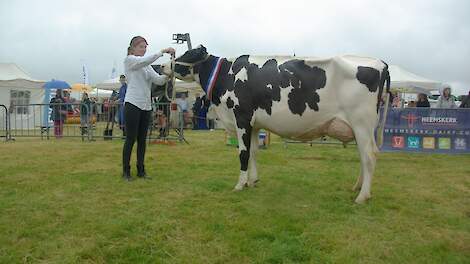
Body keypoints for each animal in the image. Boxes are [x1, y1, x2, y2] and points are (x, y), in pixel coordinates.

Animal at [162, 45, 390, 203]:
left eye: (188, 54)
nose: (162, 66)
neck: (227, 74)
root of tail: (381, 63)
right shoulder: (254, 124)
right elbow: (254, 152)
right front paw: (253, 181)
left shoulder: (241, 117)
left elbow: (243, 154)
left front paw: (239, 184)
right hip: (362, 128)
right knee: (364, 156)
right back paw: (357, 187)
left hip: (361, 123)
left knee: (369, 156)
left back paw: (362, 196)